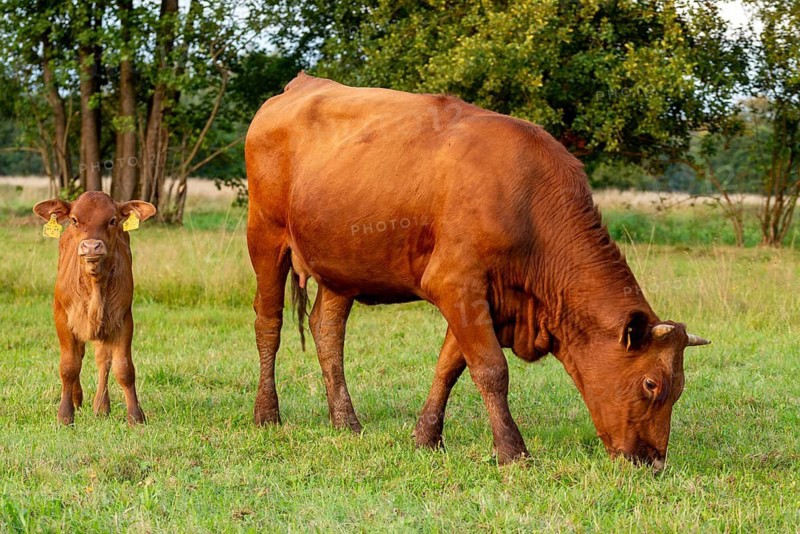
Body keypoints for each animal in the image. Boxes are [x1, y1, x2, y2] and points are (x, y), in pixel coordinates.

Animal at [34, 191, 156, 425]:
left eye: (112, 220)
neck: (94, 285)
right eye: (74, 220)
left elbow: (124, 368)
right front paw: (65, 415)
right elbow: (69, 365)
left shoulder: (123, 318)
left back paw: (101, 406)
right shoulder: (62, 317)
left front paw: (135, 416)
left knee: (103, 360)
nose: (91, 247)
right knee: (79, 355)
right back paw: (77, 399)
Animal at [244, 73, 710, 470]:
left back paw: (346, 421)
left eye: (680, 388)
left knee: (327, 331)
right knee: (269, 323)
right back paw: (267, 414)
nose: (653, 461)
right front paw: (512, 451)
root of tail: (300, 84)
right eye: (652, 385)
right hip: (264, 236)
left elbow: (450, 366)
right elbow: (491, 369)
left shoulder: (482, 296)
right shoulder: (456, 283)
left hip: (341, 263)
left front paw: (426, 437)